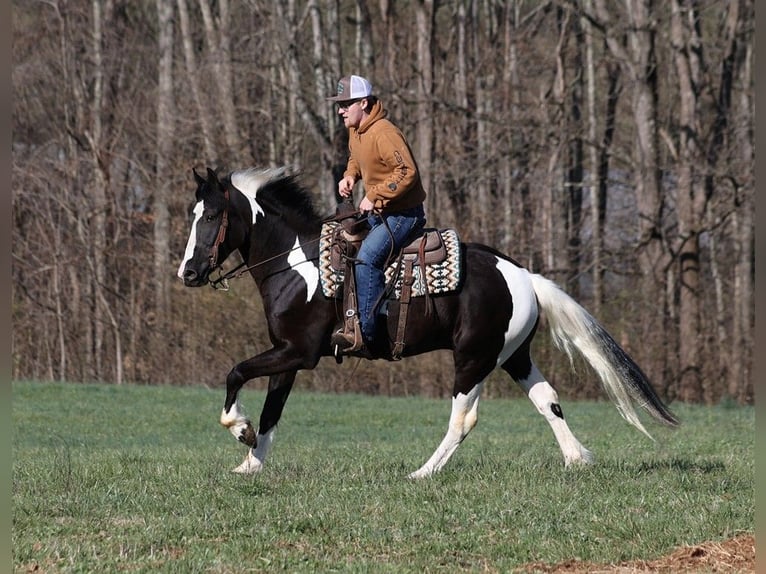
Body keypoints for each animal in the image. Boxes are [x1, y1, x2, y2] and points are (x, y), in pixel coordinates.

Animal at [176, 168, 680, 482]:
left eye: (214, 216)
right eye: (194, 214)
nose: (188, 272)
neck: (300, 266)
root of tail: (524, 277)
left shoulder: (298, 352)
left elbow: (236, 373)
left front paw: (239, 431)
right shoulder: (287, 354)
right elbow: (272, 409)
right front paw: (250, 464)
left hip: (473, 358)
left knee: (464, 418)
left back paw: (423, 471)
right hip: (513, 356)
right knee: (548, 401)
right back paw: (577, 460)